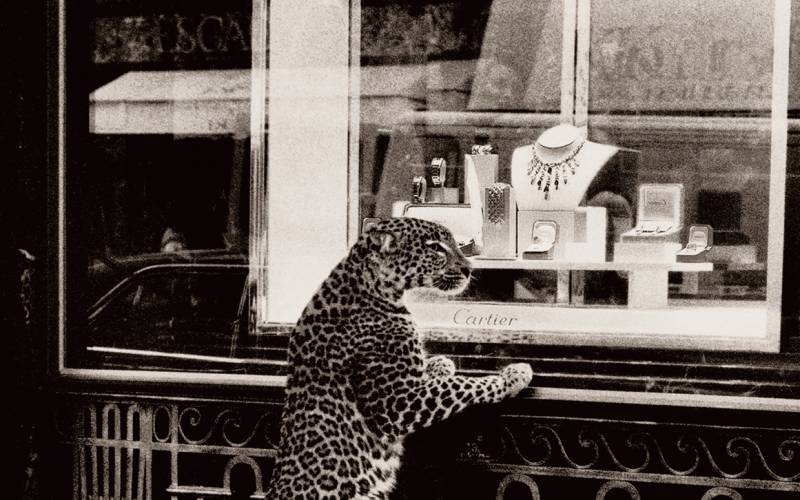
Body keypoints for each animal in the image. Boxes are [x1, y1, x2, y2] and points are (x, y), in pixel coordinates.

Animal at [266, 217, 533, 499]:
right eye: (435, 248)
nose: (469, 269)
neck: (373, 290)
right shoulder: (394, 404)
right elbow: (460, 384)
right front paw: (512, 376)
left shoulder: (408, 385)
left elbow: (436, 378)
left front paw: (440, 363)